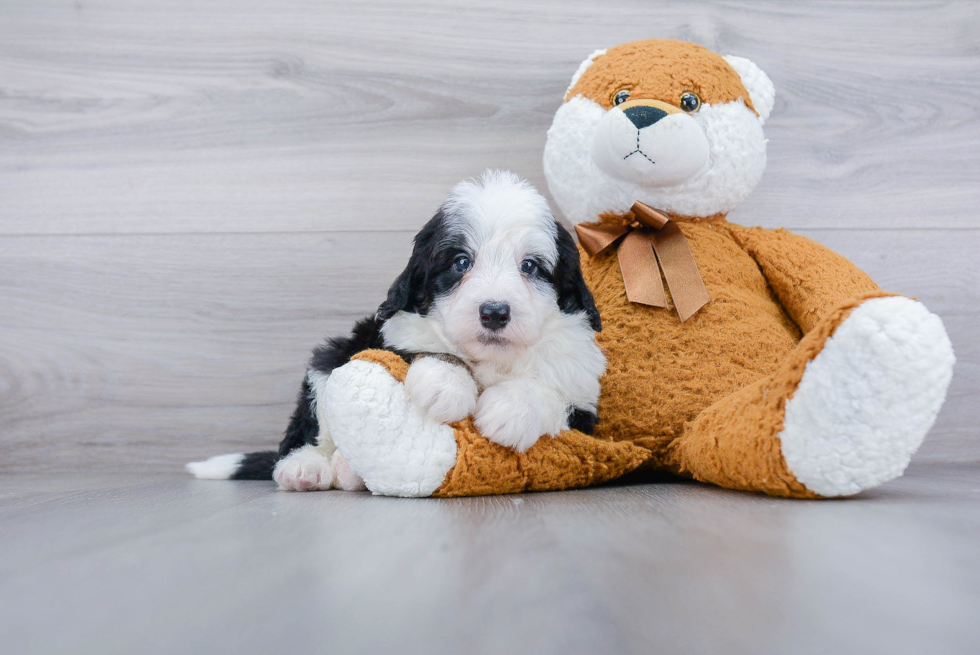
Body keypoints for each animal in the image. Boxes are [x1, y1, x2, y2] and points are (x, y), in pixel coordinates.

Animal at [189, 172, 604, 490]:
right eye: (461, 262)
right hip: (330, 362)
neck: (491, 359)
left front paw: (512, 409)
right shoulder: (385, 334)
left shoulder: (585, 407)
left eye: (530, 266)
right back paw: (305, 467)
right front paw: (446, 384)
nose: (495, 312)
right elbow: (422, 349)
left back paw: (349, 473)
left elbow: (551, 392)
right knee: (308, 432)